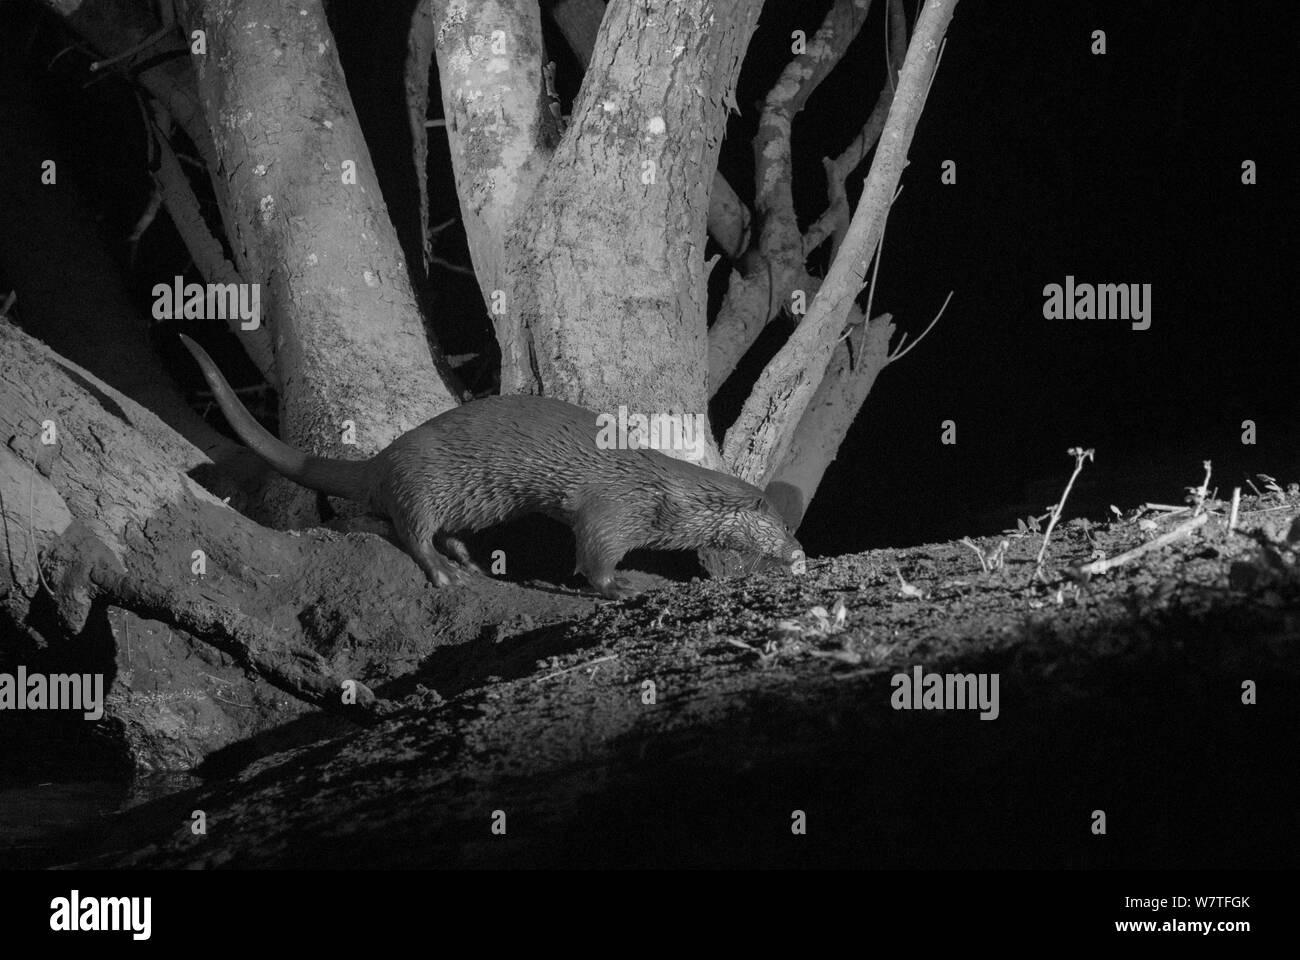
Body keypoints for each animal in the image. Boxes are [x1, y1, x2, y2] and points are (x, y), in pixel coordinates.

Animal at [178, 333, 795, 595]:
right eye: (780, 524)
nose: (796, 553)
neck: (661, 489)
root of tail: (383, 458)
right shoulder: (614, 507)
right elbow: (593, 552)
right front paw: (617, 586)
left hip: (471, 501)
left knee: (436, 527)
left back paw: (468, 561)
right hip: (424, 483)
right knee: (410, 529)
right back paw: (444, 571)